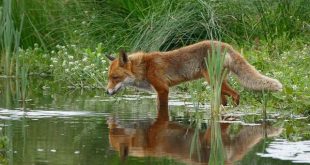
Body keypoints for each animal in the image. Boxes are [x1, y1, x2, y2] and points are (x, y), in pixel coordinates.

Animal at [105, 40, 282, 107]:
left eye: (115, 78)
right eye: (109, 78)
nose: (106, 92)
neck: (145, 67)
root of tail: (225, 44)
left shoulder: (163, 89)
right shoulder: (158, 91)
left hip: (213, 81)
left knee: (237, 94)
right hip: (217, 85)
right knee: (225, 99)